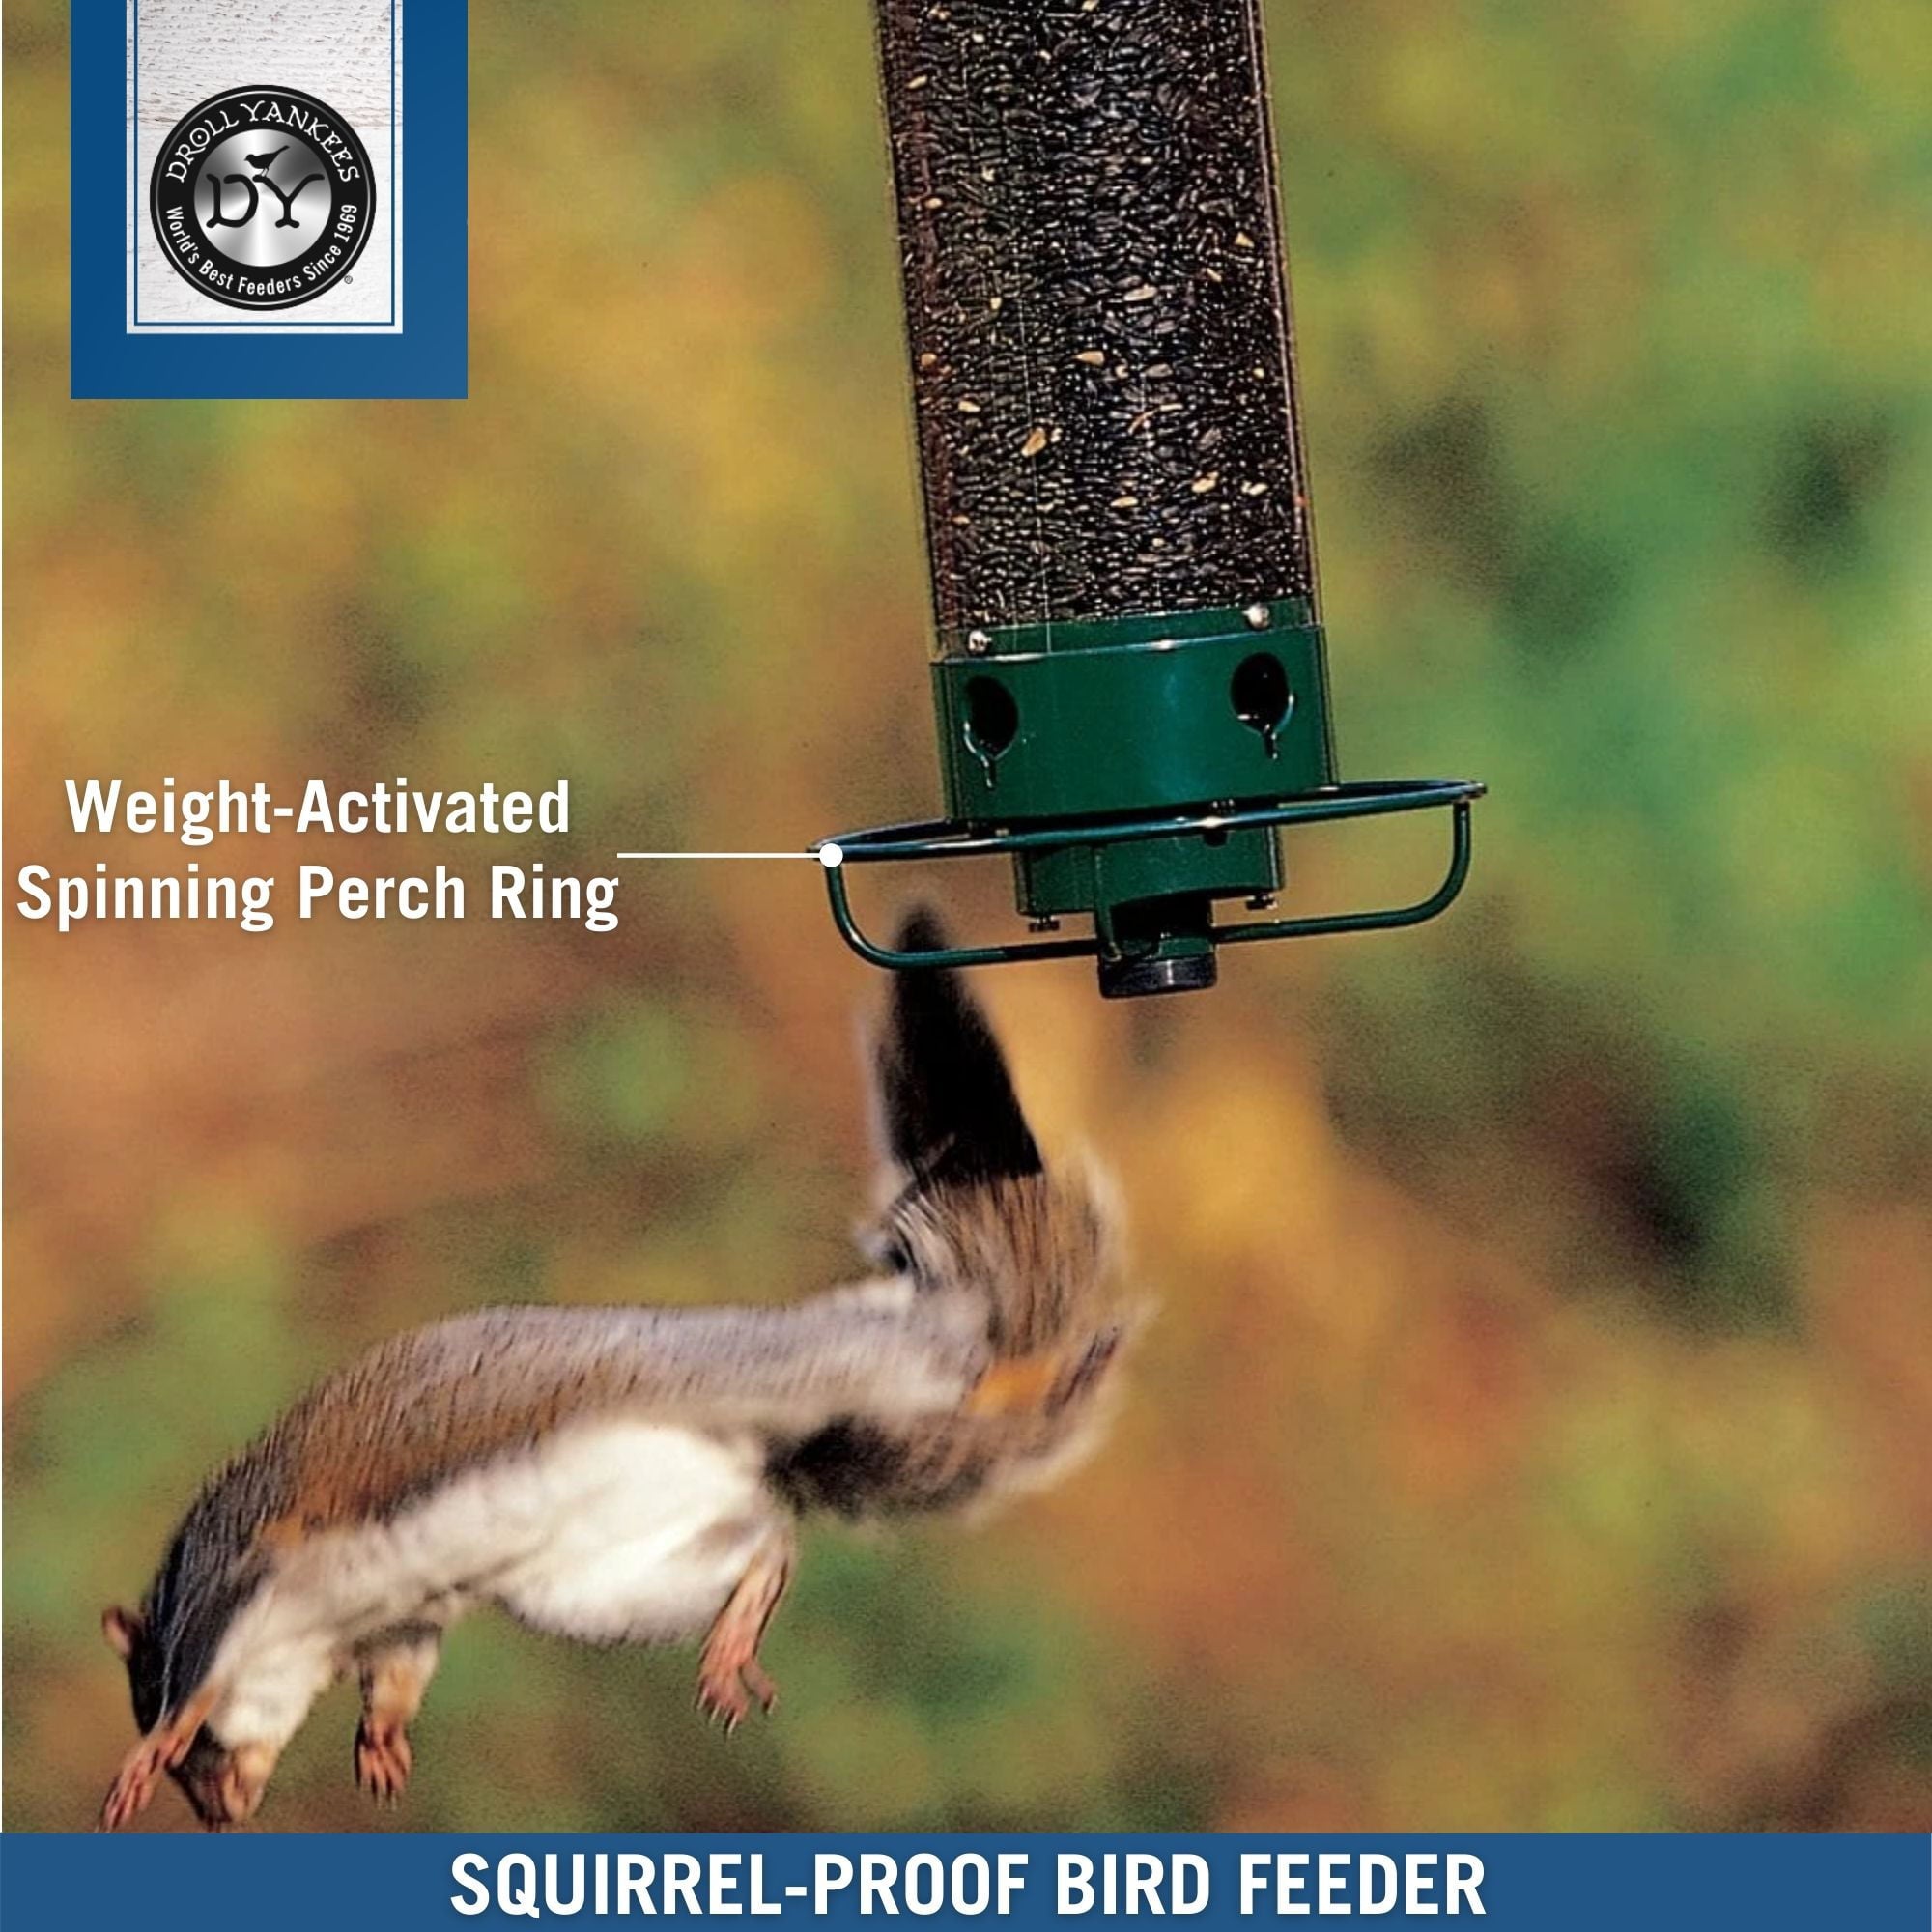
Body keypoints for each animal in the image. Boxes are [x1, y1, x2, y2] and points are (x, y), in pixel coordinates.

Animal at [99, 909, 1133, 1830]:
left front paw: (154, 1748)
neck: (312, 1635)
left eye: (180, 1738)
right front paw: (381, 1743)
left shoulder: (245, 1575)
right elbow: (397, 1679)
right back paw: (736, 1630)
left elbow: (204, 1677)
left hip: (820, 1378)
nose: (221, 1816)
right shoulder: (397, 1626)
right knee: (766, 1540)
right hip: (605, 1585)